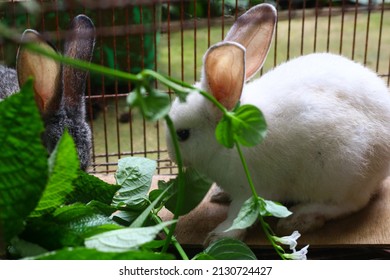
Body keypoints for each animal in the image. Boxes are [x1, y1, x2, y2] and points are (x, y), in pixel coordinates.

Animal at [166, 3, 390, 245]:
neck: (227, 139)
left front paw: (218, 236)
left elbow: (237, 216)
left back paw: (301, 218)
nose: (170, 155)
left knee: (350, 204)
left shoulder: (250, 190)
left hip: (343, 168)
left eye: (183, 134)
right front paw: (219, 195)